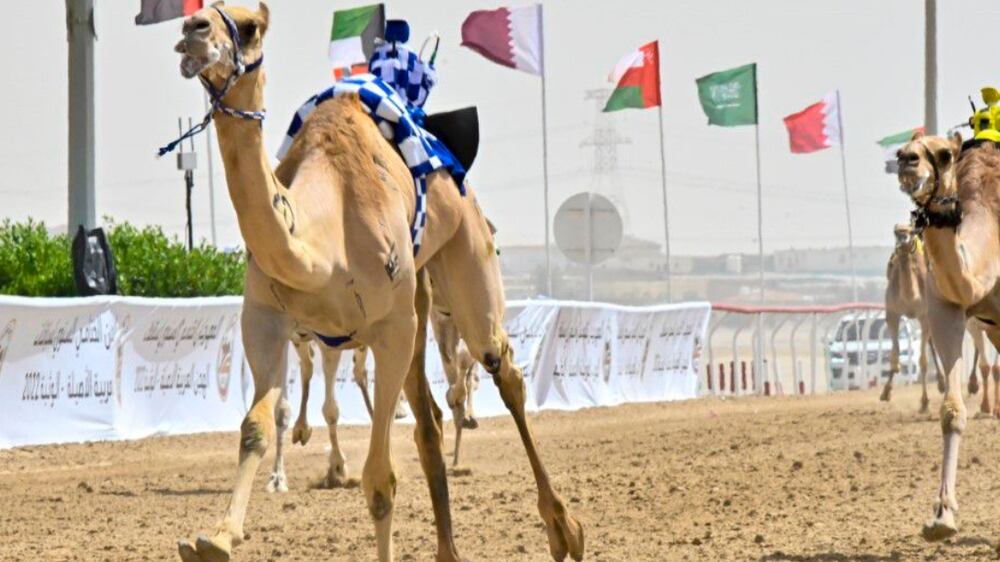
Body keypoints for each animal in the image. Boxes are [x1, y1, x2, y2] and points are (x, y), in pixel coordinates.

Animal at [170, 5, 580, 560]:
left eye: (249, 25)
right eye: (200, 14)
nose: (192, 30)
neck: (320, 240)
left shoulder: (389, 329)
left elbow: (380, 481)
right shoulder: (266, 320)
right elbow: (256, 427)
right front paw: (216, 537)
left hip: (464, 264)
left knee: (502, 369)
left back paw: (564, 529)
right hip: (419, 303)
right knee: (430, 418)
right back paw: (450, 550)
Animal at [896, 129, 1000, 540]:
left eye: (943, 154)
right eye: (902, 150)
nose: (906, 161)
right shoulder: (947, 308)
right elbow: (952, 410)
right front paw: (942, 517)